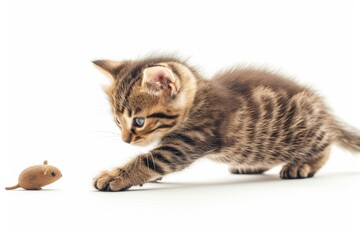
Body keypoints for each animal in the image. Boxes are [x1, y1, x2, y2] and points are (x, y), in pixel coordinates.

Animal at [92, 55, 360, 191]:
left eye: (138, 121)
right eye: (117, 121)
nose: (125, 140)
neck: (198, 100)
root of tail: (324, 111)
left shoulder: (191, 141)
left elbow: (151, 158)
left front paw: (117, 175)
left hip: (304, 133)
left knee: (325, 145)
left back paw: (303, 164)